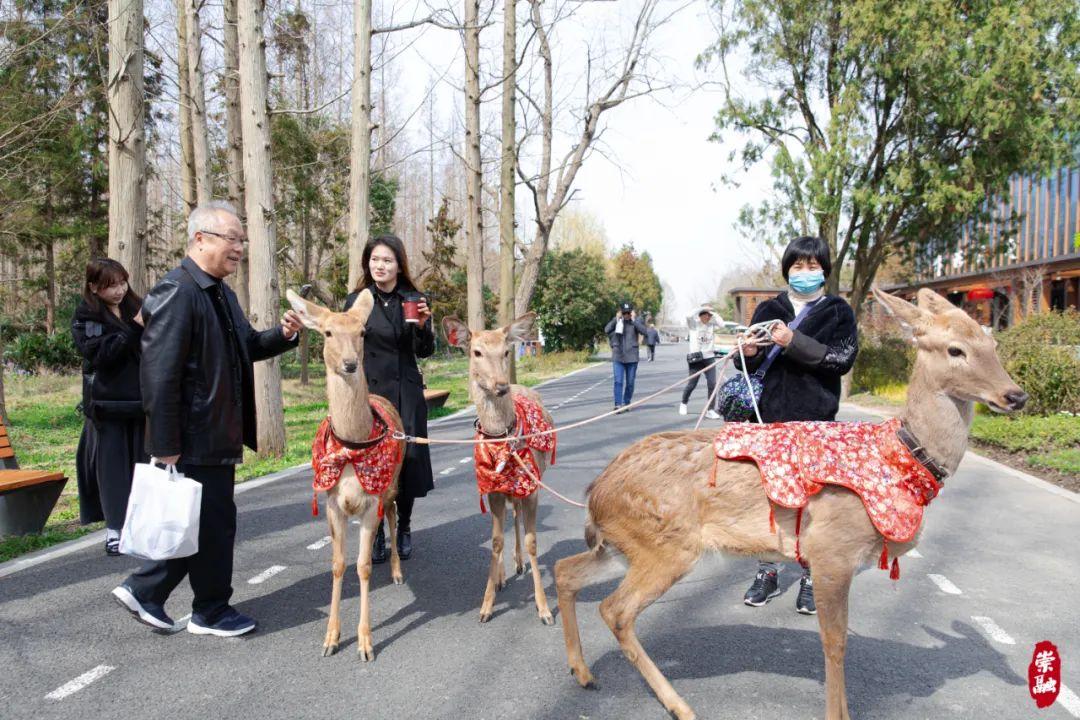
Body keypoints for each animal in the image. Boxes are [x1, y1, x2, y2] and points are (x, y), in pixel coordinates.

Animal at [287, 289, 406, 664]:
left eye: (362, 332)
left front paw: (366, 644)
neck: (353, 448)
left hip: (392, 483)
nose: (351, 363)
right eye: (326, 332)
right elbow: (339, 564)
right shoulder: (331, 502)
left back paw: (397, 570)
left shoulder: (371, 500)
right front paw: (331, 639)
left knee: (394, 514)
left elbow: (363, 566)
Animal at [440, 313, 557, 626]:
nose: (501, 385)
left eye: (506, 351)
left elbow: (532, 541)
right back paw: (504, 575)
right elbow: (494, 541)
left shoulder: (531, 486)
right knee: (506, 523)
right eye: (476, 352)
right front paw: (486, 607)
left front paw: (544, 609)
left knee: (515, 517)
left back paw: (518, 564)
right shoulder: (491, 489)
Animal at [557, 289, 1028, 720]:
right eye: (955, 349)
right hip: (666, 544)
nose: (1016, 395)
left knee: (567, 572)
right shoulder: (831, 549)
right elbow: (835, 642)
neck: (900, 457)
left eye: (992, 343)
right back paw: (679, 705)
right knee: (615, 610)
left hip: (624, 545)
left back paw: (583, 672)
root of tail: (596, 490)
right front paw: (839, 715)